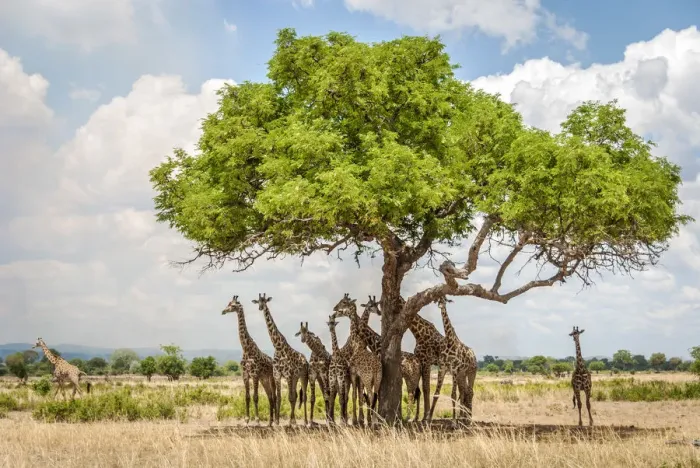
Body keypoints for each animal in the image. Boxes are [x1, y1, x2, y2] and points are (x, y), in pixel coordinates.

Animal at [222, 295, 277, 426]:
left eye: (233, 305)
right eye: (228, 303)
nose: (223, 311)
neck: (246, 349)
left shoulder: (255, 374)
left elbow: (255, 397)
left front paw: (257, 421)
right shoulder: (245, 374)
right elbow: (247, 397)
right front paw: (246, 420)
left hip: (270, 377)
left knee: (274, 396)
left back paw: (273, 421)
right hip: (264, 379)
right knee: (269, 396)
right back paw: (270, 422)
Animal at [254, 293, 309, 426]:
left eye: (265, 301)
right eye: (258, 301)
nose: (260, 307)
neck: (278, 347)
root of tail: (305, 360)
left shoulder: (288, 374)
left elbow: (290, 397)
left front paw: (289, 422)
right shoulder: (277, 374)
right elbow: (279, 397)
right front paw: (277, 421)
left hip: (303, 376)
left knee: (303, 396)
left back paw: (305, 421)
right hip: (295, 378)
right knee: (296, 395)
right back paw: (294, 420)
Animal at [332, 295, 382, 425]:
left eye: (344, 303)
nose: (334, 310)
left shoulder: (355, 374)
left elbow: (356, 395)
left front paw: (358, 420)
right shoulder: (357, 376)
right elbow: (359, 396)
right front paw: (361, 419)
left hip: (364, 378)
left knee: (369, 395)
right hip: (376, 378)